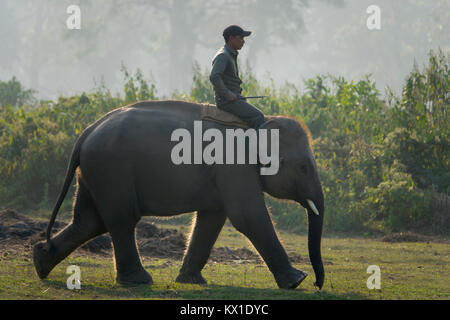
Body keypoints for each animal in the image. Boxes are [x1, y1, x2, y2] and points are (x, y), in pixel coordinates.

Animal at [33, 100, 326, 290]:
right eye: (303, 167)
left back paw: (40, 262)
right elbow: (247, 215)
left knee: (89, 222)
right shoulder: (233, 165)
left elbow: (213, 217)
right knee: (121, 220)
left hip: (94, 173)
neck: (259, 125)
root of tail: (87, 132)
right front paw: (296, 281)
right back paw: (139, 281)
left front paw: (190, 281)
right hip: (110, 169)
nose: (317, 283)